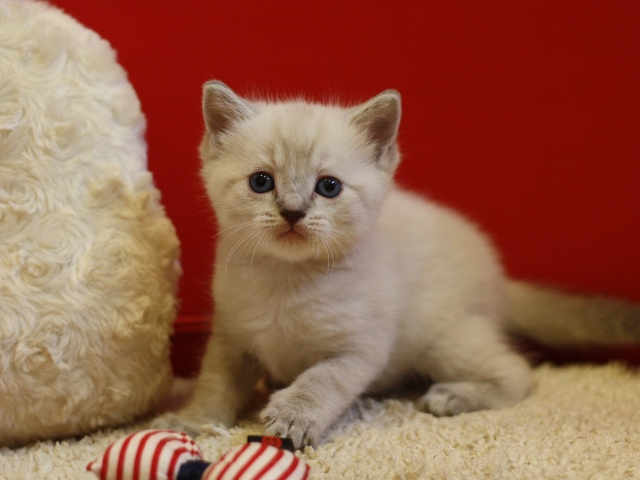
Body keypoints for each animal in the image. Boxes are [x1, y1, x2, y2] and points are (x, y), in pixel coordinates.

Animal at [155, 79, 640, 450]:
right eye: (261, 182)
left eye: (328, 187)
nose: (292, 212)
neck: (285, 280)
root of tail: (498, 277)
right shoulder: (230, 340)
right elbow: (214, 386)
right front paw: (190, 421)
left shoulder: (358, 350)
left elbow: (320, 381)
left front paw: (294, 417)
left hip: (444, 341)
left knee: (519, 374)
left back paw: (450, 397)